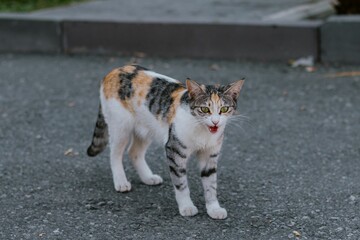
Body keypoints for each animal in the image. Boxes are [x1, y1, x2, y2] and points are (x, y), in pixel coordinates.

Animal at [87, 64, 245, 219]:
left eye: (224, 109)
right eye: (204, 109)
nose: (215, 122)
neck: (203, 132)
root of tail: (114, 70)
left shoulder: (210, 155)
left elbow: (211, 185)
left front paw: (214, 209)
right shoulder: (174, 150)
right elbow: (181, 183)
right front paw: (186, 207)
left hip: (147, 128)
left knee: (134, 152)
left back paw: (148, 177)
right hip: (120, 125)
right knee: (115, 153)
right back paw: (121, 181)